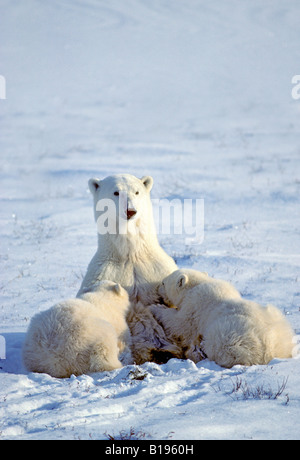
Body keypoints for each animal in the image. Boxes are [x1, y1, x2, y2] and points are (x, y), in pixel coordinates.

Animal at [77, 172, 180, 362]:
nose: (130, 211)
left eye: (137, 191)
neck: (131, 255)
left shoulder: (157, 271)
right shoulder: (104, 273)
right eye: (116, 192)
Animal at [152, 270, 296, 366]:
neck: (197, 285)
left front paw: (156, 307)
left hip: (230, 334)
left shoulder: (194, 306)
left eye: (163, 282)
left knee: (223, 348)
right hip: (278, 322)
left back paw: (199, 351)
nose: (157, 287)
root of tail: (270, 351)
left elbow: (180, 323)